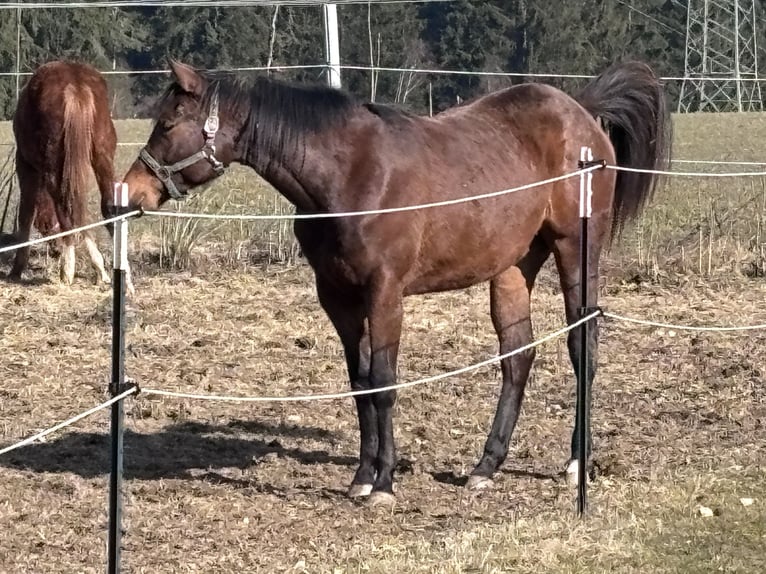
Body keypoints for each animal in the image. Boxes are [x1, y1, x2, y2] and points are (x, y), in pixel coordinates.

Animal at [8, 60, 117, 286]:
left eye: (46, 225)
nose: (55, 250)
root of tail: (75, 86)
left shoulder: (25, 166)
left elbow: (25, 214)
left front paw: (17, 269)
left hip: (54, 165)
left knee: (67, 207)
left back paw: (69, 269)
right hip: (102, 155)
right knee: (107, 206)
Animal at [122, 60, 670, 505]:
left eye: (168, 123)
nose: (130, 192)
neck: (350, 176)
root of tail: (581, 111)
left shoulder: (385, 292)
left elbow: (384, 382)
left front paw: (384, 483)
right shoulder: (338, 298)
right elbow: (360, 384)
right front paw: (362, 477)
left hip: (576, 249)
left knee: (583, 345)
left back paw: (577, 462)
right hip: (514, 267)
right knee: (517, 357)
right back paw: (486, 466)